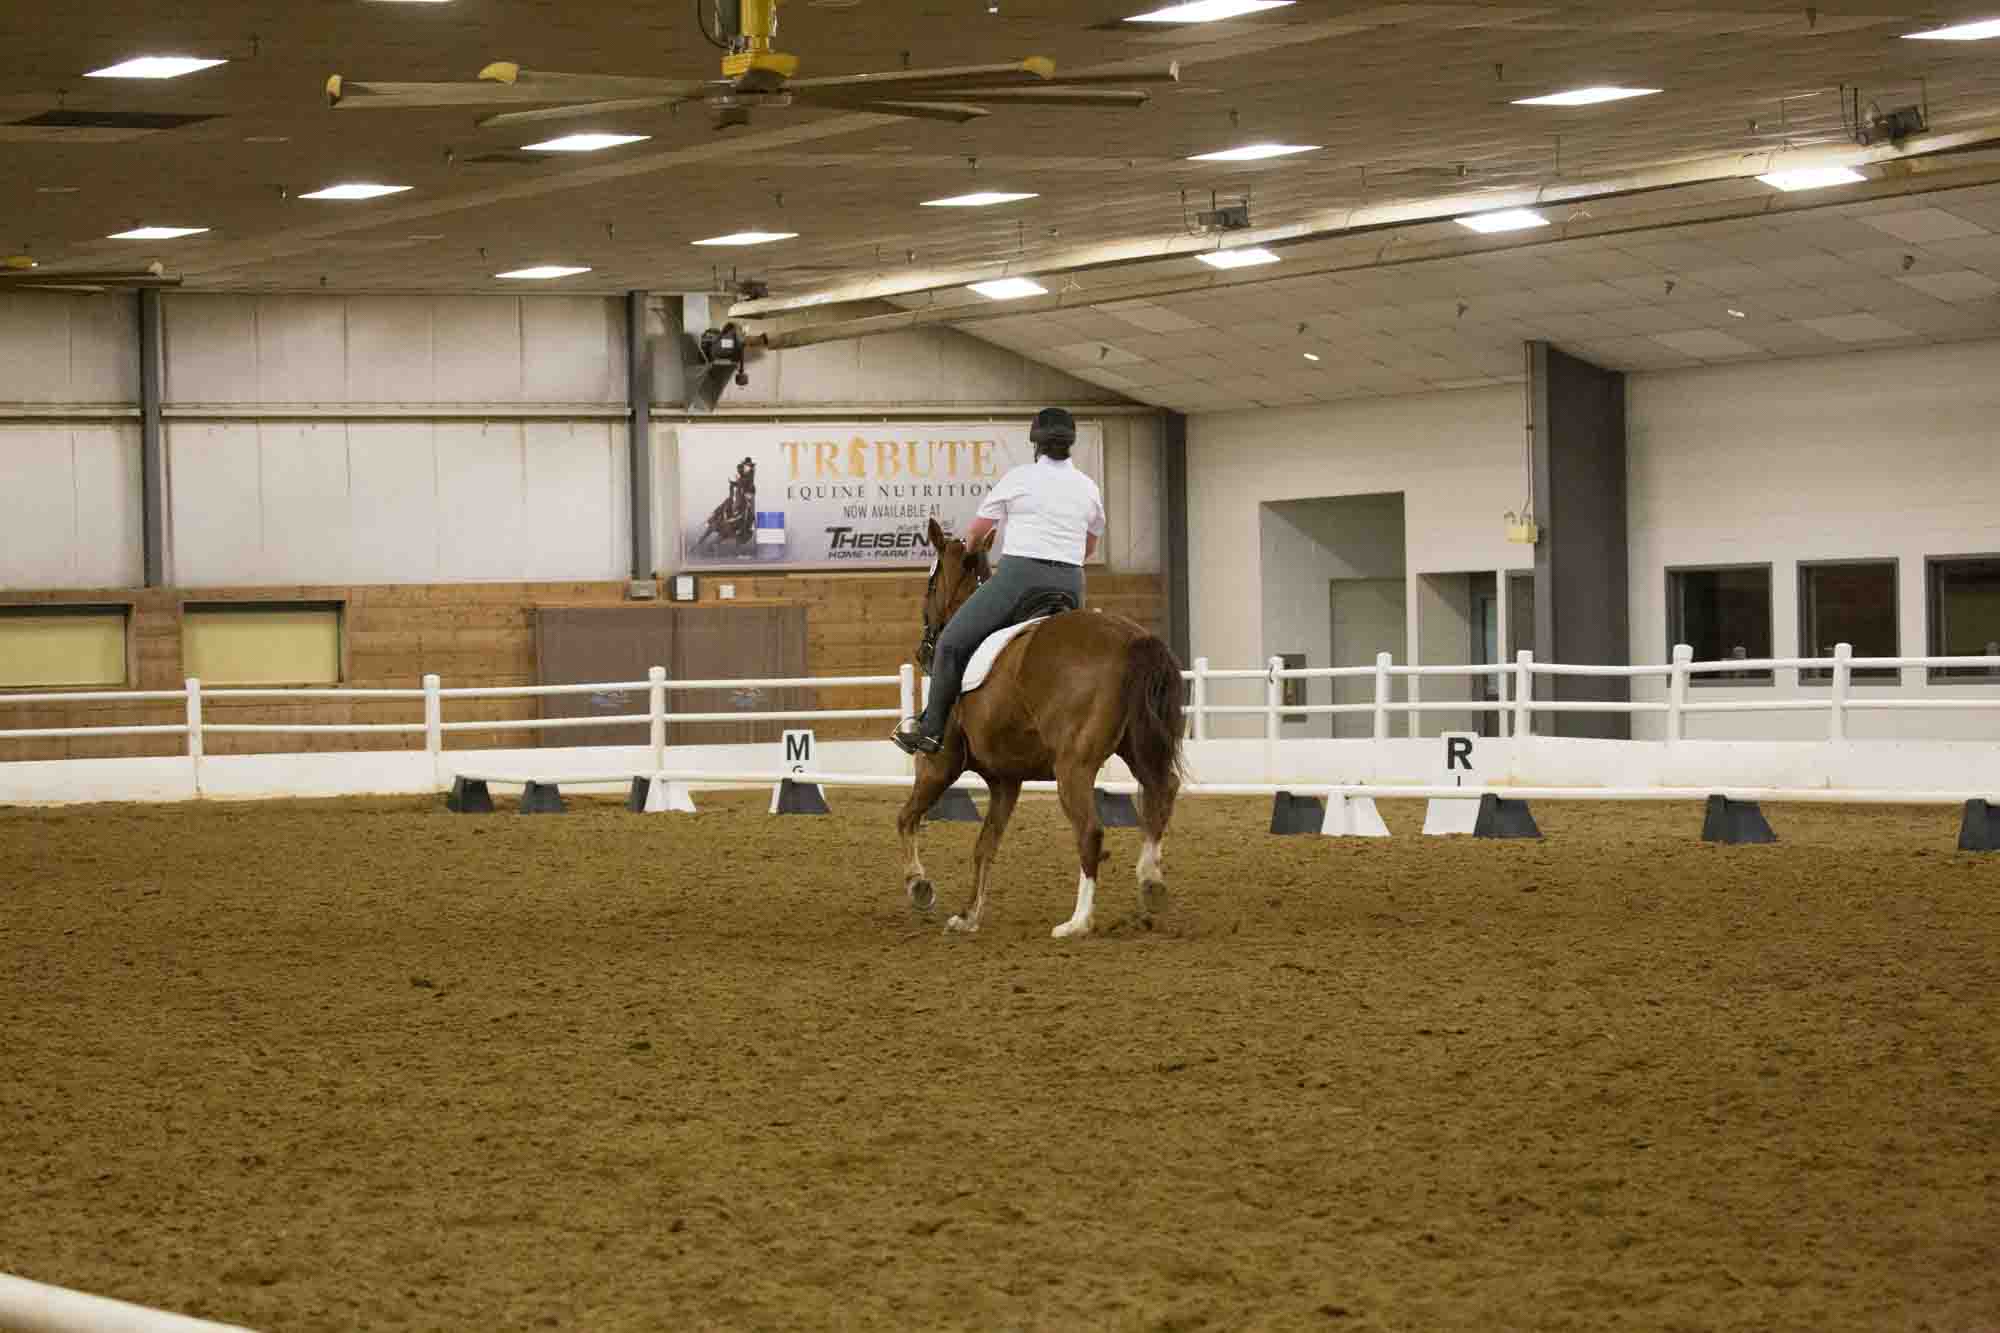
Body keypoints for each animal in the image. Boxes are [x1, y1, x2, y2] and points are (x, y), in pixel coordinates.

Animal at [897, 519, 1186, 938]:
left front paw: (919, 885)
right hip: (1137, 748)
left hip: (1073, 767)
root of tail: (1133, 639)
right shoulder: (1005, 780)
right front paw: (969, 916)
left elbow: (907, 818)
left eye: (930, 586)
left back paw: (1077, 922)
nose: (923, 652)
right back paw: (1150, 881)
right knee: (1161, 793)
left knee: (1091, 832)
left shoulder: (941, 764)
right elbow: (984, 846)